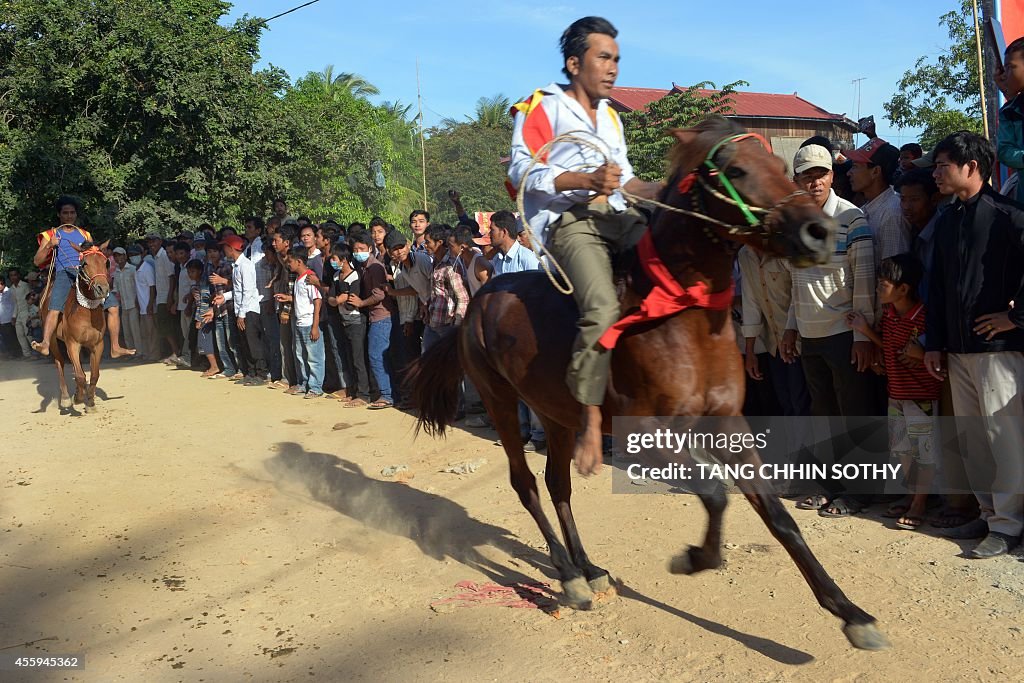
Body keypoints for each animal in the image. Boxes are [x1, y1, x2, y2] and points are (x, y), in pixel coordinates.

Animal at [39, 240, 111, 411]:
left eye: (106, 262)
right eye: (84, 263)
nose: (102, 289)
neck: (86, 312)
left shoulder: (97, 344)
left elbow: (94, 374)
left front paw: (90, 401)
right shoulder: (72, 343)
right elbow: (79, 375)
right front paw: (78, 398)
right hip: (54, 340)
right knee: (60, 362)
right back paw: (66, 398)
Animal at [407, 117, 888, 651]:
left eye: (784, 168)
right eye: (735, 170)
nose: (818, 232)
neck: (680, 316)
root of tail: (479, 300)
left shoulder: (728, 424)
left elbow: (778, 517)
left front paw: (850, 612)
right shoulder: (647, 430)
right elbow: (715, 494)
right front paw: (696, 557)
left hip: (556, 413)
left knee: (557, 484)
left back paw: (587, 567)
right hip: (500, 400)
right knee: (527, 483)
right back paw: (569, 576)